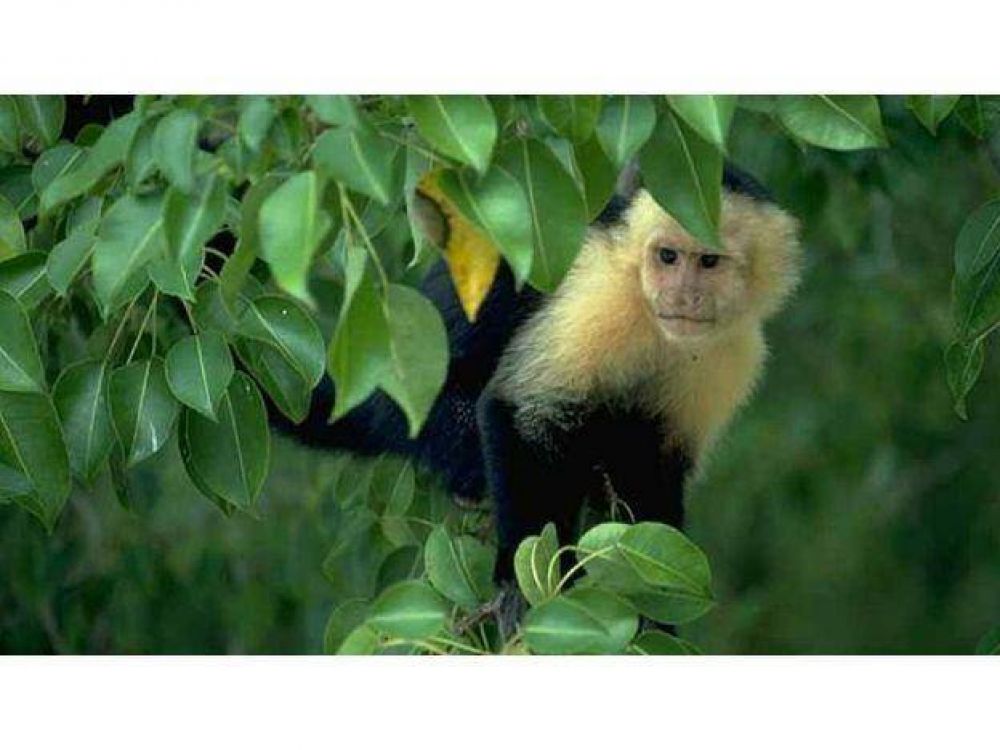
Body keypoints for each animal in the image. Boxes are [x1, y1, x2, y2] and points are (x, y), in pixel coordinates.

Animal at [273, 164, 802, 586]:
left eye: (708, 262)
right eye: (667, 257)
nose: (682, 296)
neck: (654, 323)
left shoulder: (734, 353)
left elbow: (654, 468)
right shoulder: (601, 297)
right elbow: (523, 413)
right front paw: (522, 582)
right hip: (425, 417)